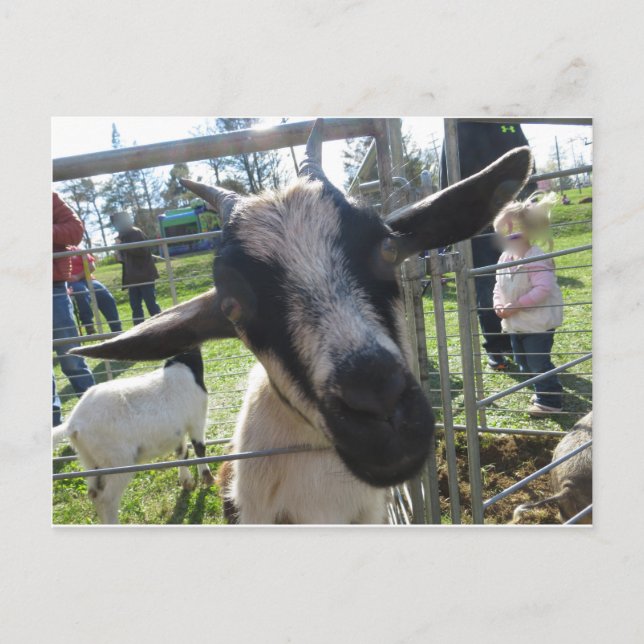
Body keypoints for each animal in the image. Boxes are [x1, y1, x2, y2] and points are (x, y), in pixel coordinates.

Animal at [53, 349, 214, 524]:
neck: (183, 366)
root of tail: (74, 423)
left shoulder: (178, 429)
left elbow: (182, 452)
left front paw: (187, 482)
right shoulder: (197, 420)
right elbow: (199, 449)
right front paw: (208, 479)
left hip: (90, 460)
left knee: (94, 493)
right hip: (118, 461)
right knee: (106, 499)